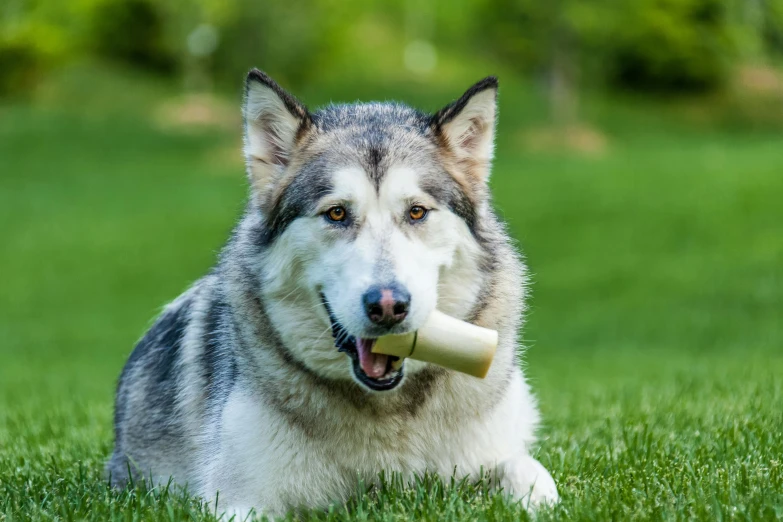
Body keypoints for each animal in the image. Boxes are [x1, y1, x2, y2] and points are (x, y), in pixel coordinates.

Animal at [107, 69, 560, 516]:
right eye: (337, 213)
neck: (387, 409)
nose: (388, 306)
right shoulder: (238, 498)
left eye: (416, 212)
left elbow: (531, 474)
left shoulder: (496, 452)